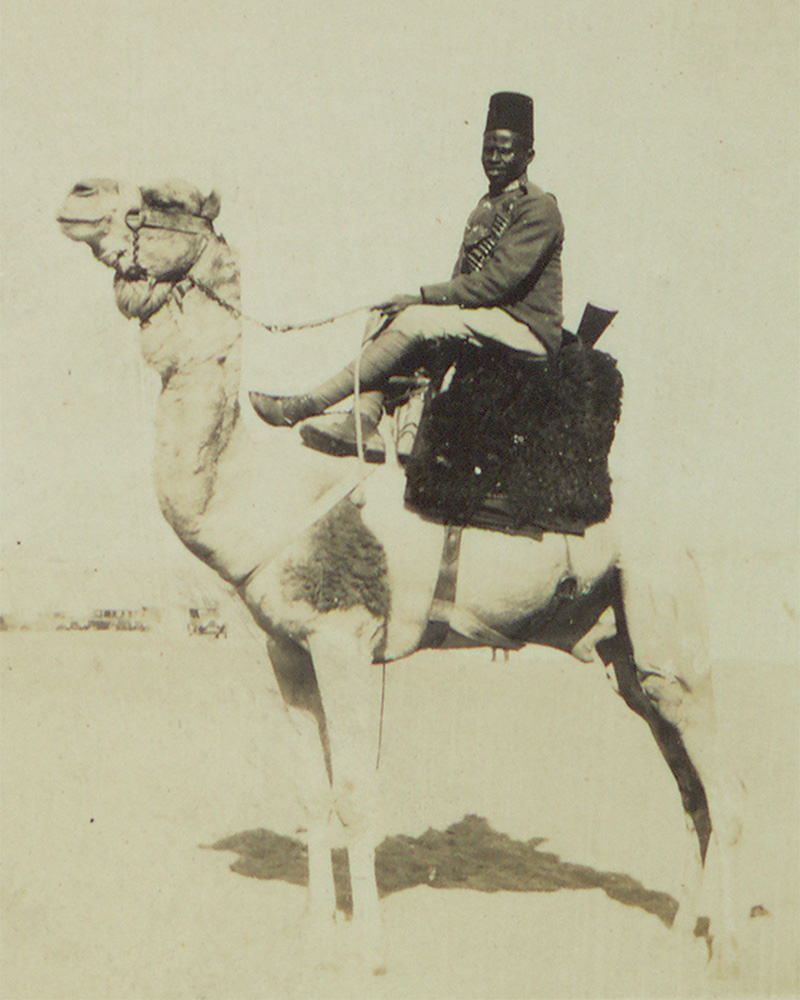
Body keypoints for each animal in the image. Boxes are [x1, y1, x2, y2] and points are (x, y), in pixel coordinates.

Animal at [57, 180, 744, 976]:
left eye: (163, 199)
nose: (77, 194)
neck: (261, 495)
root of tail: (684, 534)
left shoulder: (346, 639)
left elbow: (356, 793)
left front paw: (370, 948)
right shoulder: (287, 648)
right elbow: (312, 792)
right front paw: (315, 931)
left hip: (670, 618)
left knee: (724, 791)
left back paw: (729, 953)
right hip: (621, 650)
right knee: (691, 791)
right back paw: (679, 936)